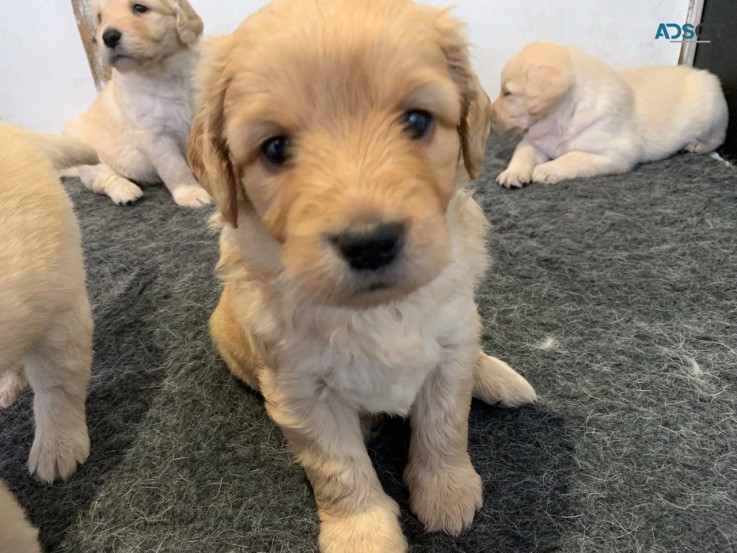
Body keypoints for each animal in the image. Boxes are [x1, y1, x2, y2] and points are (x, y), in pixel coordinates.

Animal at [64, 0, 211, 207]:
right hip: (89, 156)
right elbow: (174, 167)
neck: (162, 72)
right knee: (104, 180)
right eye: (100, 18)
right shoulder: (153, 135)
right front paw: (191, 193)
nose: (108, 37)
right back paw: (125, 191)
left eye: (139, 8)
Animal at [190, 1, 536, 552]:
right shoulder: (301, 393)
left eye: (416, 120)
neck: (377, 310)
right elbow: (340, 469)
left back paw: (498, 376)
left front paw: (447, 489)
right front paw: (364, 534)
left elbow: (445, 423)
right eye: (275, 148)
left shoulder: (448, 347)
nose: (370, 242)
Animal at [492, 41, 728, 188]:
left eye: (508, 93)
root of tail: (702, 73)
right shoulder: (535, 141)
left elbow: (573, 156)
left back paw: (696, 145)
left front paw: (547, 168)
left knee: (718, 138)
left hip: (712, 111)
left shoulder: (615, 153)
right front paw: (513, 173)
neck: (563, 116)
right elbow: (523, 152)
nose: (490, 113)